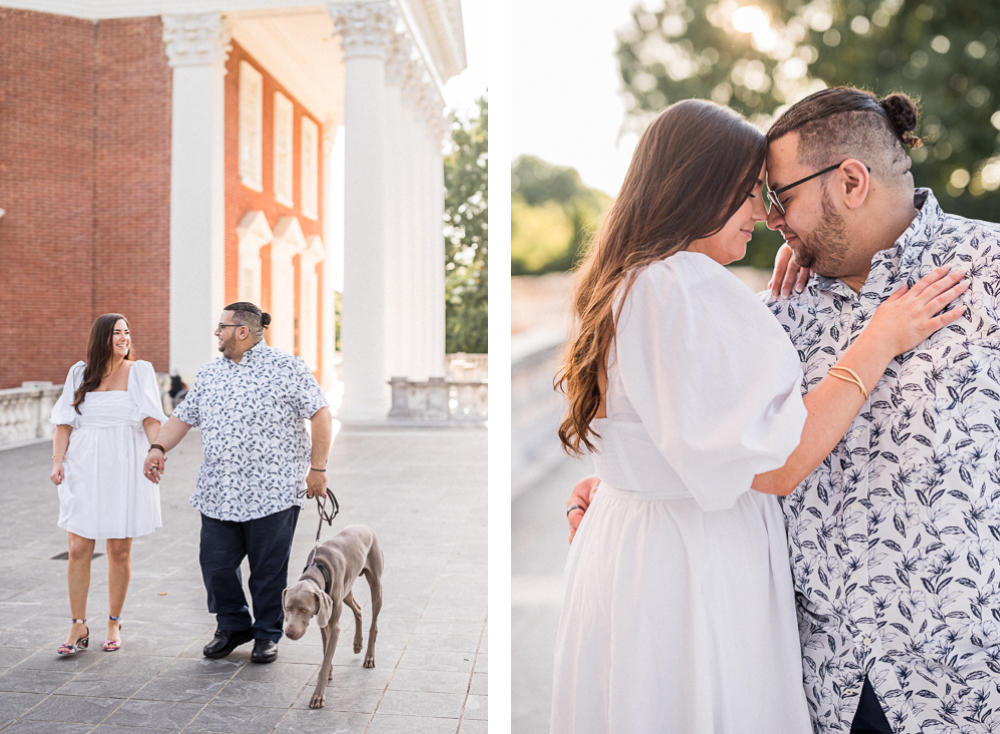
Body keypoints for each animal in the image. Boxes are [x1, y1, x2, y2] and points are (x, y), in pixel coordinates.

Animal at [286, 528, 386, 712]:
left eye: (304, 610)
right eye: (287, 608)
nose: (289, 633)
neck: (318, 569)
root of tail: (366, 527)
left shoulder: (334, 626)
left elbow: (325, 661)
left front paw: (318, 696)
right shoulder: (323, 616)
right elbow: (326, 650)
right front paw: (330, 671)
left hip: (376, 585)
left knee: (374, 623)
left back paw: (369, 657)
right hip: (346, 590)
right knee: (358, 609)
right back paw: (357, 643)